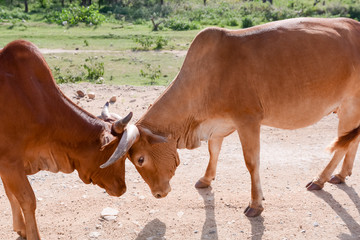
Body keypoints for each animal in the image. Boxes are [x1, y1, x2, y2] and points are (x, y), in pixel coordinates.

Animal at [0, 40, 132, 239]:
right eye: (120, 156)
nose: (122, 188)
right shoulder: (10, 162)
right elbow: (27, 200)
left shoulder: (7, 165)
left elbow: (10, 194)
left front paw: (20, 228)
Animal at [100, 17, 360, 218]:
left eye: (140, 159)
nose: (158, 194)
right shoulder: (217, 125)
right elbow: (213, 151)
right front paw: (206, 179)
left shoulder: (248, 121)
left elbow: (251, 162)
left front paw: (256, 204)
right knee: (351, 140)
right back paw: (340, 175)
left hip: (349, 105)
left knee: (340, 145)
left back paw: (321, 178)